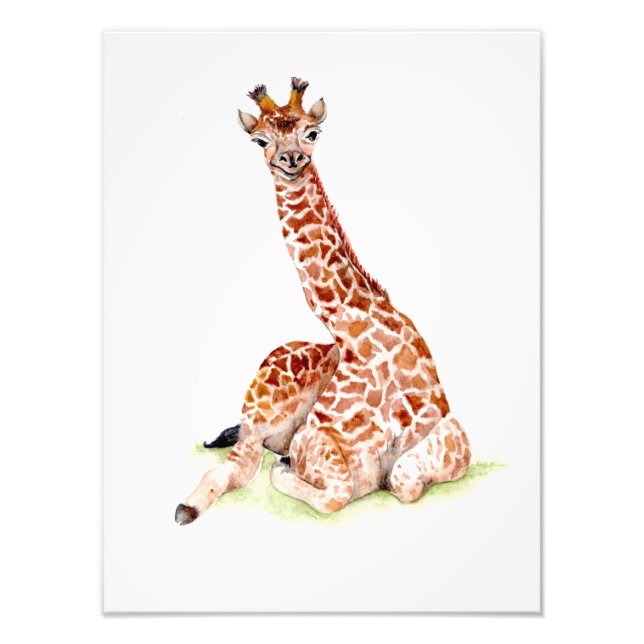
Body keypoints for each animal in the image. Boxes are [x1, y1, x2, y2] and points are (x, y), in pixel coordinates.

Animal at [175, 78, 470, 525]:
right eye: (260, 140)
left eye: (311, 133)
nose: (291, 159)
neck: (359, 329)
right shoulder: (318, 446)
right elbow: (335, 493)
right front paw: (283, 473)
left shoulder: (453, 435)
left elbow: (402, 478)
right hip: (260, 410)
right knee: (239, 465)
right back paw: (190, 503)